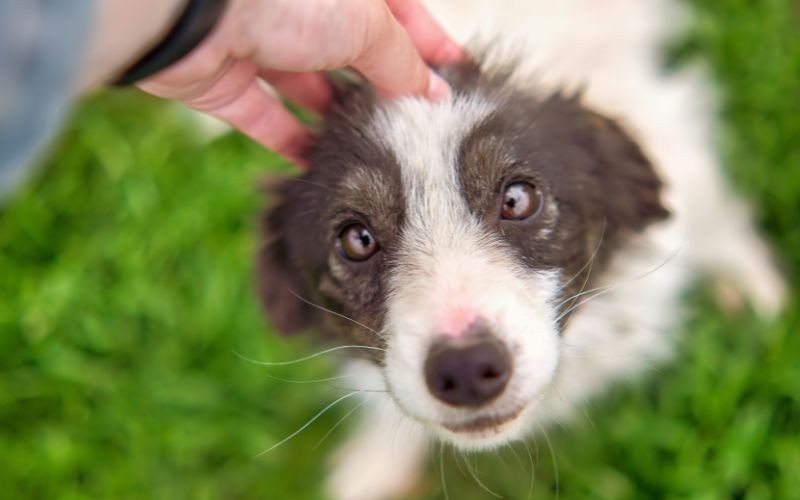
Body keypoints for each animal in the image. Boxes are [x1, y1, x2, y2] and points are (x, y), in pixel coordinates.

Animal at [258, 1, 788, 498]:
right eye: (357, 239)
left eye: (517, 199)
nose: (467, 370)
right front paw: (374, 464)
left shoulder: (674, 129)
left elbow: (717, 220)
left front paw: (758, 291)